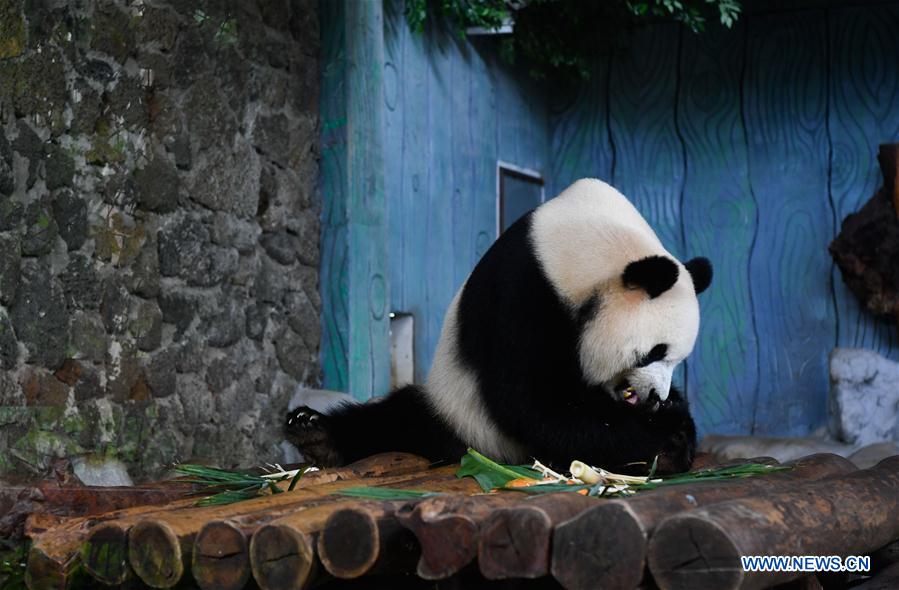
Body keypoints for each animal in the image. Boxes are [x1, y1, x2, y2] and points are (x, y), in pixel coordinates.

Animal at [287, 178, 712, 474]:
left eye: (677, 360)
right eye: (654, 352)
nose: (657, 396)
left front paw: (673, 425)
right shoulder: (522, 291)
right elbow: (533, 403)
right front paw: (658, 442)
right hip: (458, 415)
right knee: (396, 421)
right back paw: (317, 434)